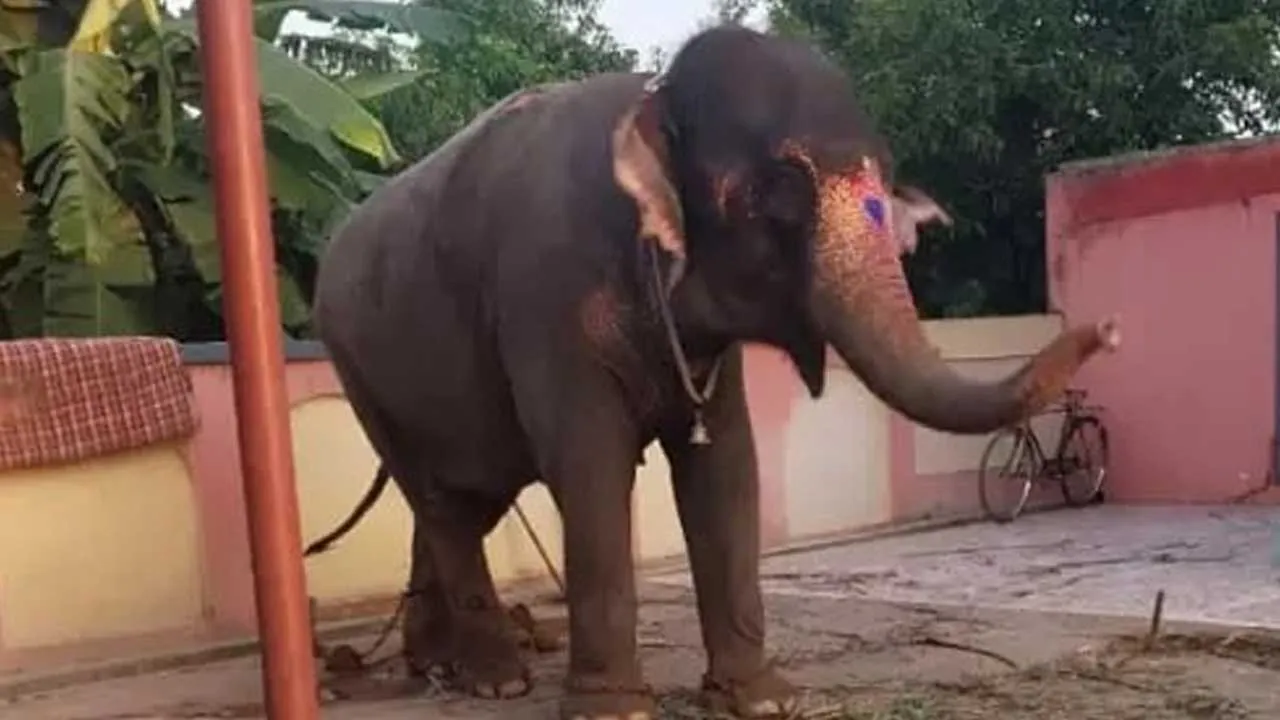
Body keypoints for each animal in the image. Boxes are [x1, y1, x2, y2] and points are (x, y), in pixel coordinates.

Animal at [311, 24, 1119, 720]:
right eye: (777, 194)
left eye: (887, 181)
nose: (1107, 328)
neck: (653, 97)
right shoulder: (546, 296)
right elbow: (590, 464)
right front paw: (616, 711)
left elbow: (727, 463)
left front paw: (761, 700)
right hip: (358, 368)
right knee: (443, 502)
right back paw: (496, 682)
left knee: (462, 498)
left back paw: (438, 668)